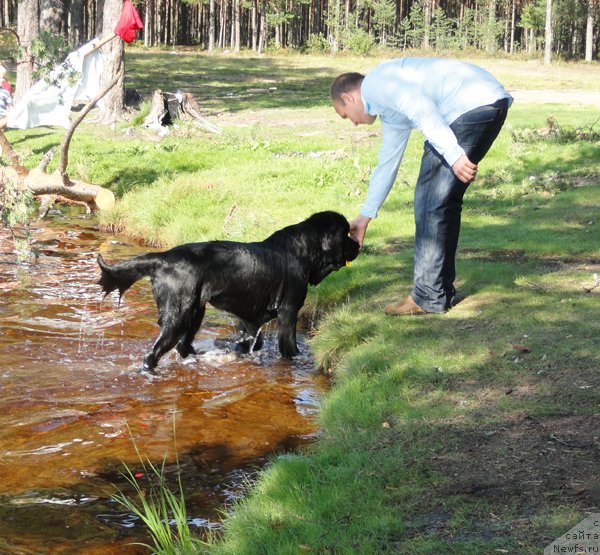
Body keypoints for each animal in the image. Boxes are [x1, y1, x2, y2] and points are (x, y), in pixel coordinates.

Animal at [98, 212, 358, 374]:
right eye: (345, 235)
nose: (358, 244)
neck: (301, 251)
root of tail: (164, 257)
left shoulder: (251, 319)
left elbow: (250, 340)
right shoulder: (289, 311)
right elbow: (290, 347)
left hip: (195, 311)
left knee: (183, 345)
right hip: (178, 314)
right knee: (152, 355)